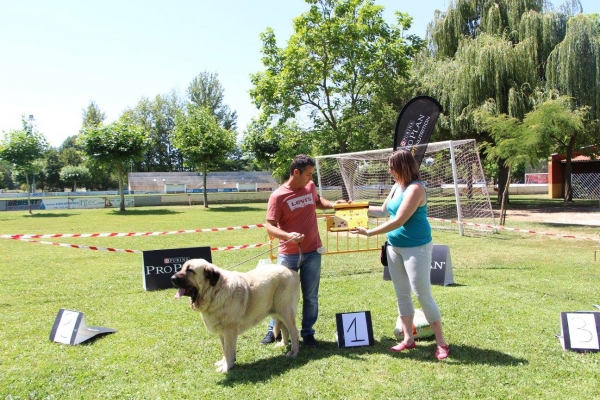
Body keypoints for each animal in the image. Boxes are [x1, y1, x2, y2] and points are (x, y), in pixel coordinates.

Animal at [171, 260, 300, 372]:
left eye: (190, 270)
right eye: (181, 268)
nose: (172, 278)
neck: (215, 292)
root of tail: (292, 271)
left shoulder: (229, 331)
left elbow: (228, 350)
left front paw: (226, 367)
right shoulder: (222, 333)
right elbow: (224, 349)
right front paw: (225, 363)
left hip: (285, 311)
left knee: (294, 331)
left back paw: (294, 352)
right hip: (277, 312)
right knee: (284, 329)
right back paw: (282, 344)